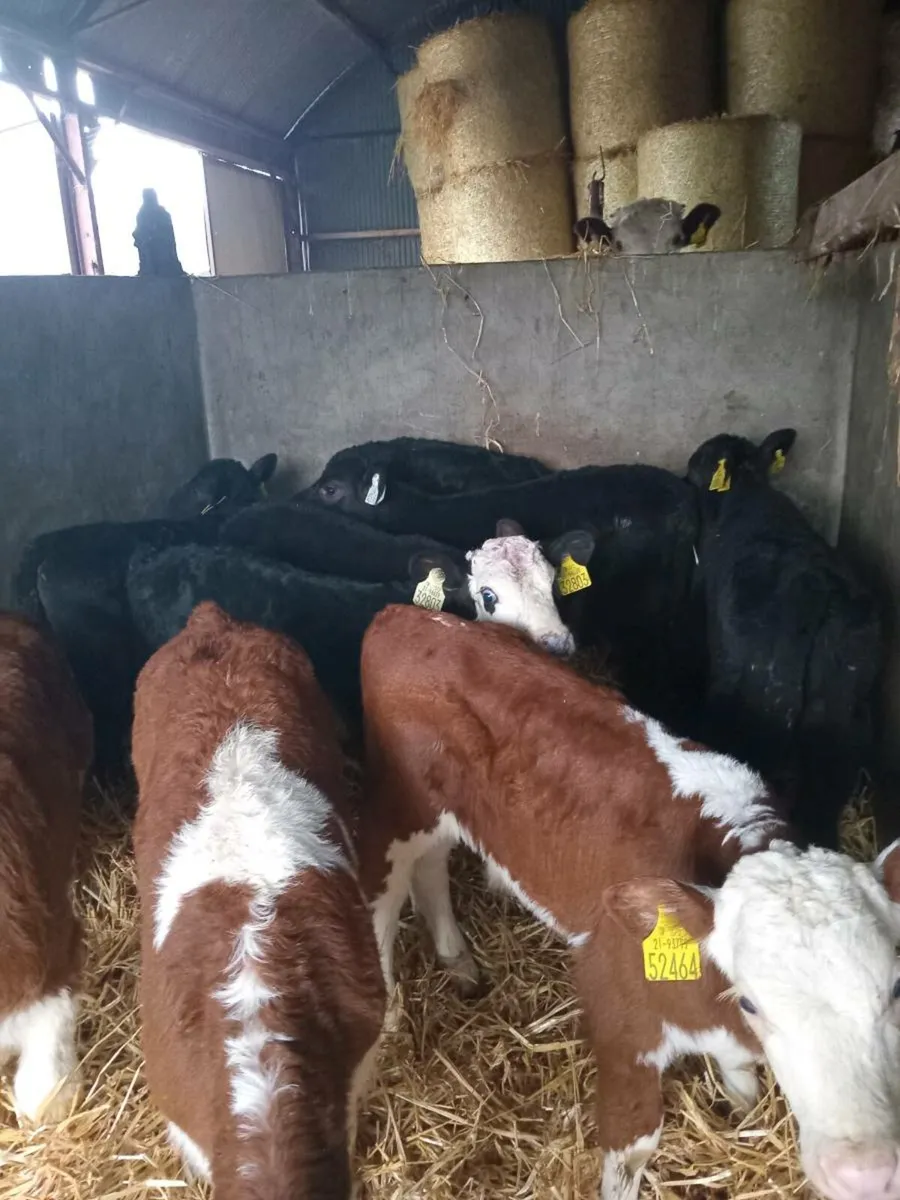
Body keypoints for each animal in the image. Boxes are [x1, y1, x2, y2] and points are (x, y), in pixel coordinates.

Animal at [357, 605, 900, 1200]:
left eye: (896, 989)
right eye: (753, 1002)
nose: (865, 1172)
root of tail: (406, 616)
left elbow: (741, 1077)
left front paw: (739, 1104)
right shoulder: (617, 1012)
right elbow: (632, 1149)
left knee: (432, 867)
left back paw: (459, 962)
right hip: (398, 811)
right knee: (383, 900)